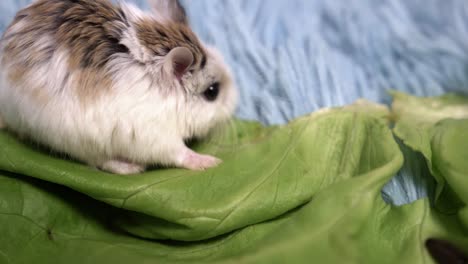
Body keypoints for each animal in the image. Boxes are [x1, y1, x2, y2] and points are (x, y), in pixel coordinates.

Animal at [0, 0, 238, 175]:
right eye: (212, 92)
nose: (234, 103)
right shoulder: (155, 136)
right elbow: (180, 153)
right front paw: (211, 161)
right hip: (75, 139)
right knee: (99, 161)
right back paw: (132, 168)